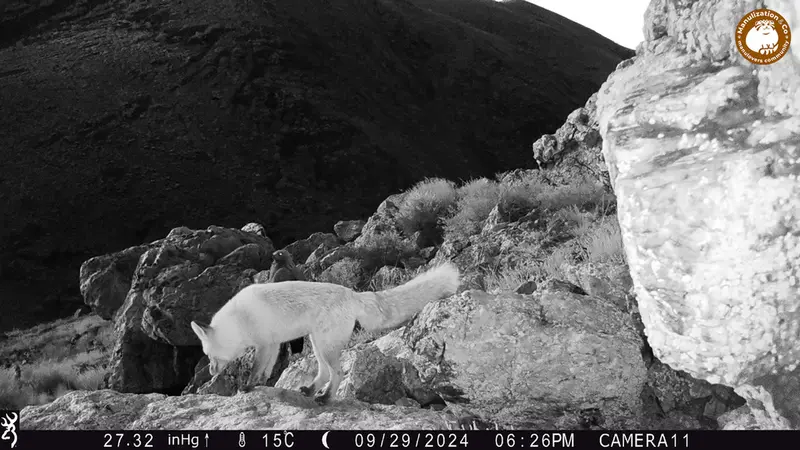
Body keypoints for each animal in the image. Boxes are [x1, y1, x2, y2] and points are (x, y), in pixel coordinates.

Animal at [190, 262, 460, 404]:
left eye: (209, 354)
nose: (211, 372)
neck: (240, 321)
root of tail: (352, 293)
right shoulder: (273, 344)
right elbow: (265, 371)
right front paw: (257, 385)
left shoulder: (264, 344)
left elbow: (256, 369)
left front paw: (246, 387)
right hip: (317, 343)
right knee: (322, 372)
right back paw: (311, 391)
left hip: (325, 346)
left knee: (338, 374)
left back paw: (326, 397)